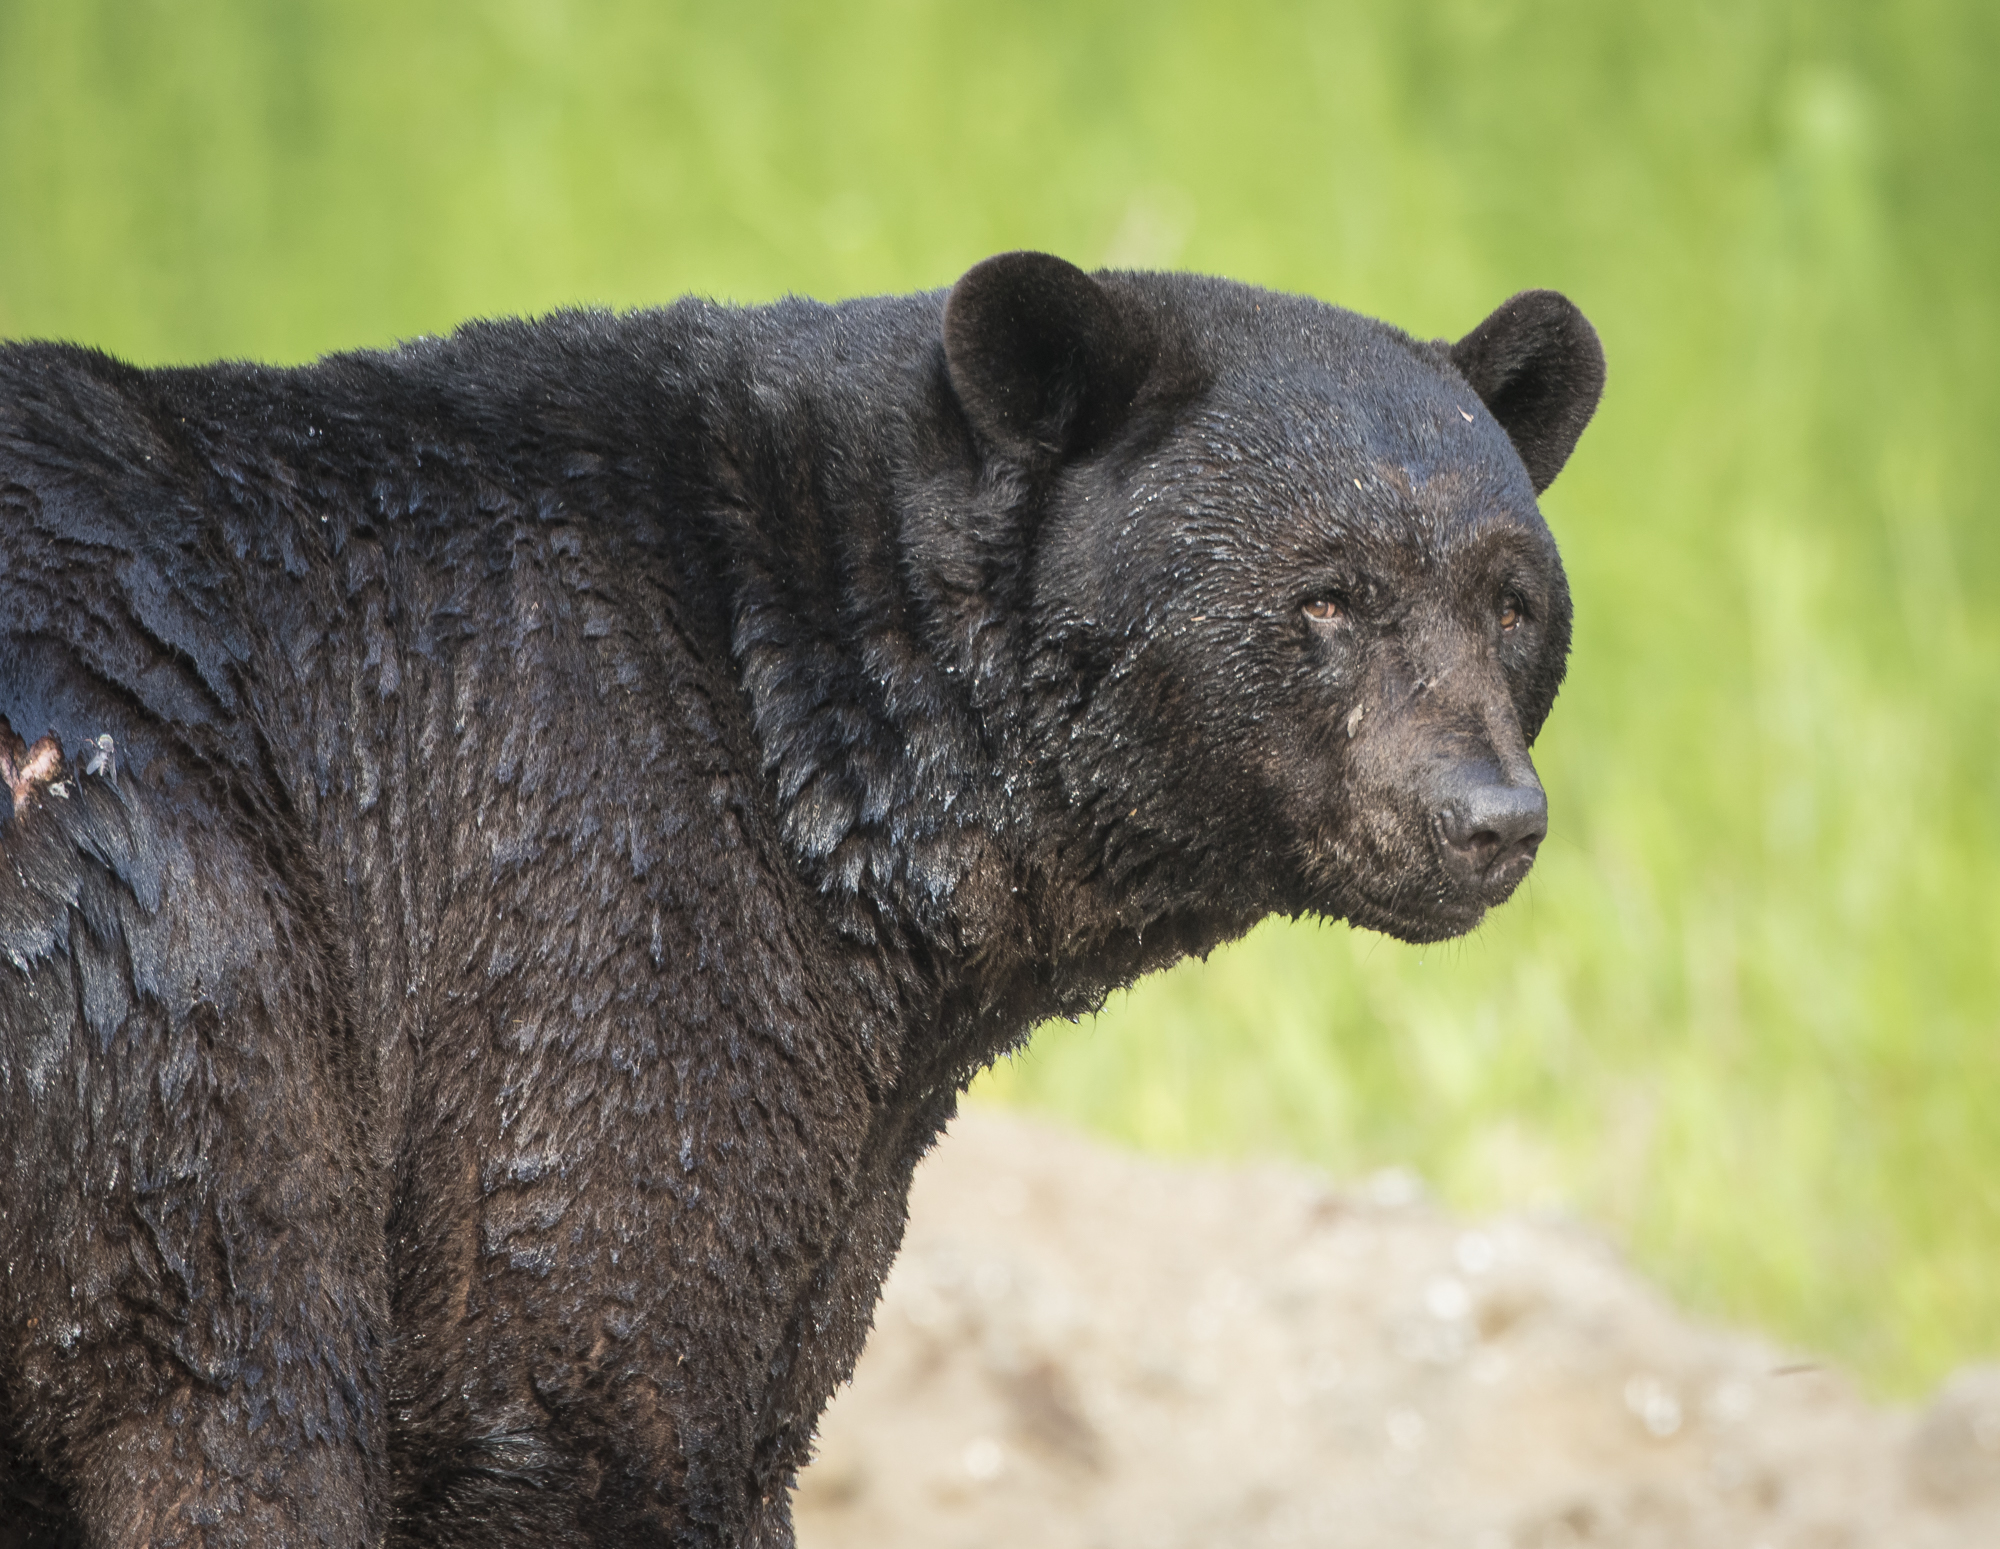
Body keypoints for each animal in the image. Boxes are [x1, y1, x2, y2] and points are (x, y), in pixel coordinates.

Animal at [0, 251, 1602, 1548]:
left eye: (1510, 601)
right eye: (1327, 596)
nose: (1487, 819)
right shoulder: (591, 913)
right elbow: (588, 1383)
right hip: (176, 960)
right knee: (242, 1362)